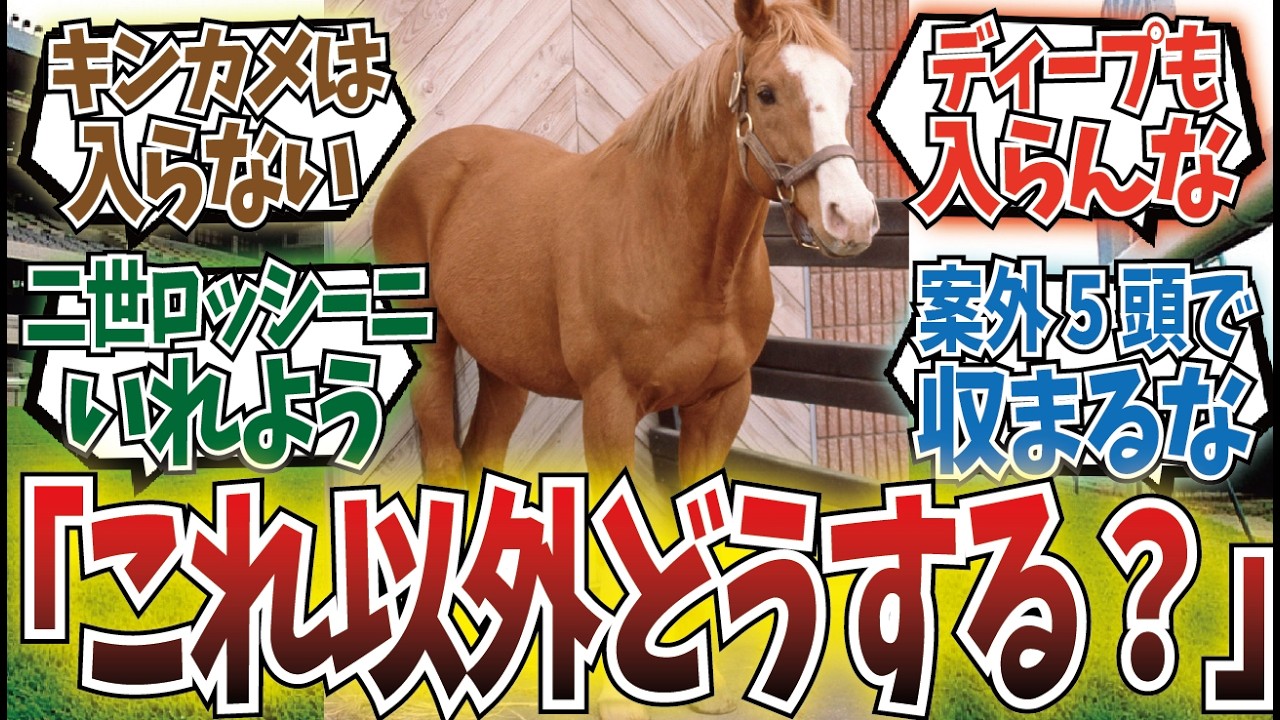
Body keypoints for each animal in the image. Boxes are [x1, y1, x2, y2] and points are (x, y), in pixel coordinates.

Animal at [373, 0, 879, 489]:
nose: (852, 216)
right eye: (766, 92)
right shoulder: (609, 407)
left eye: (846, 85)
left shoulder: (721, 404)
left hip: (504, 366)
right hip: (431, 349)